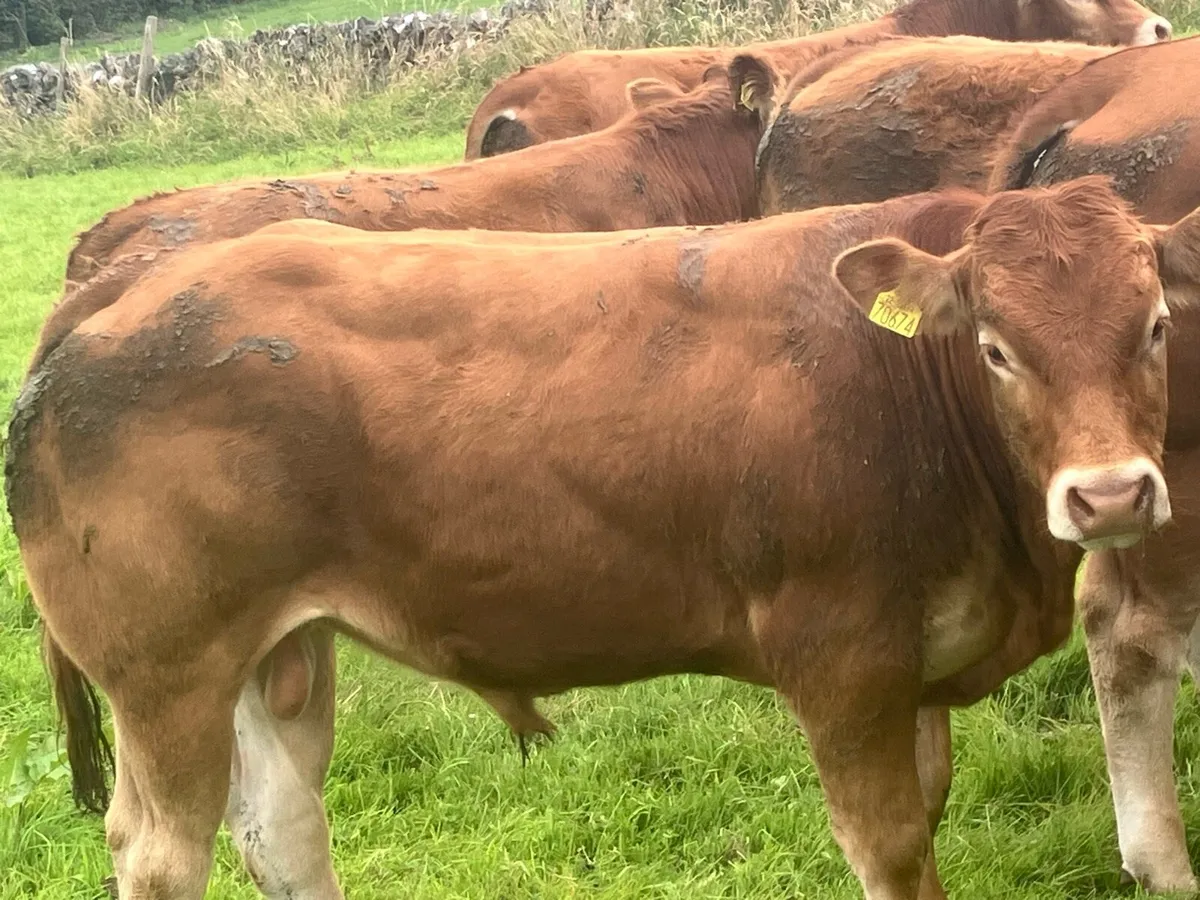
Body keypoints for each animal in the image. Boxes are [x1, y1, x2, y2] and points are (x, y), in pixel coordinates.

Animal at [10, 177, 1200, 900]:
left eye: (1155, 325)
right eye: (997, 348)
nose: (1108, 498)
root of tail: (130, 281)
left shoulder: (912, 671)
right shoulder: (842, 658)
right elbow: (894, 848)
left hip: (274, 655)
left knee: (283, 830)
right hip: (169, 678)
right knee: (160, 854)